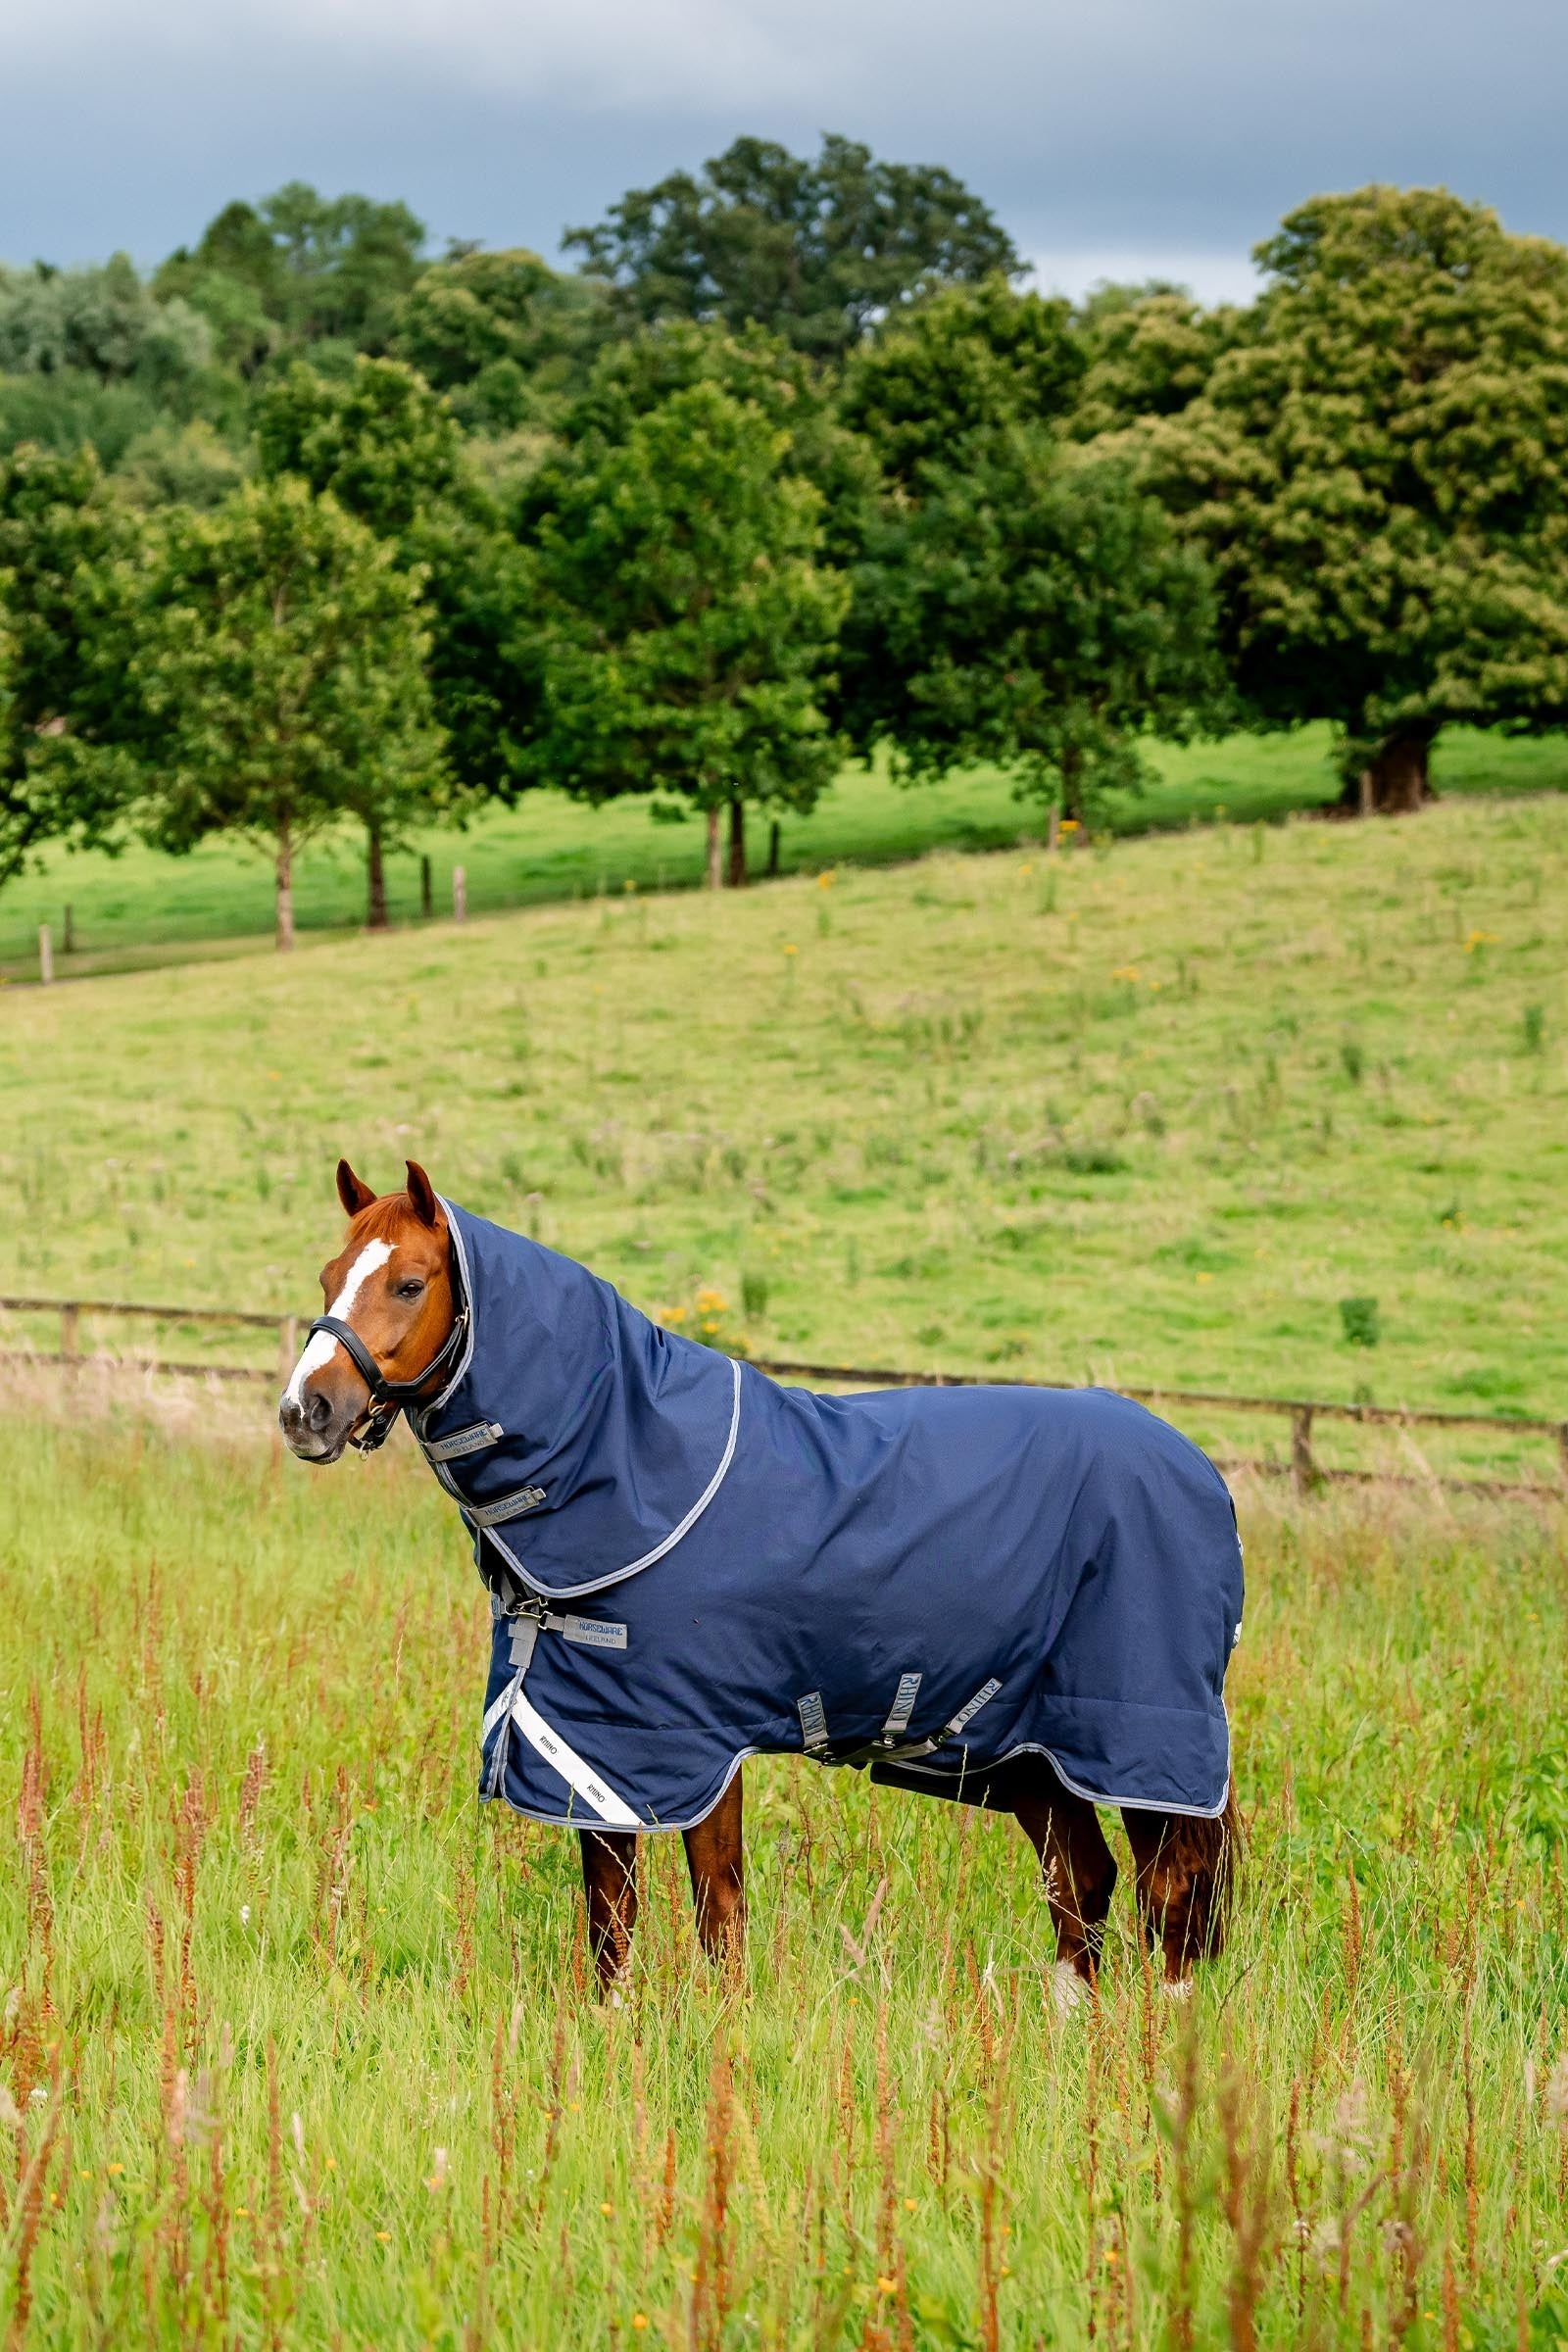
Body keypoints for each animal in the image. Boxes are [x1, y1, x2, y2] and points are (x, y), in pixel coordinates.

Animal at [279, 1159, 1241, 2006]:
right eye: (329, 1274)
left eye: (410, 1283)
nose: (304, 1412)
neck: (632, 1460)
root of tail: (1198, 1468)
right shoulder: (592, 1744)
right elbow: (610, 1917)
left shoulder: (693, 1745)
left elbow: (717, 1911)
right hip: (1033, 1749)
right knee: (1082, 1884)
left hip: (1142, 1741)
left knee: (1172, 1893)